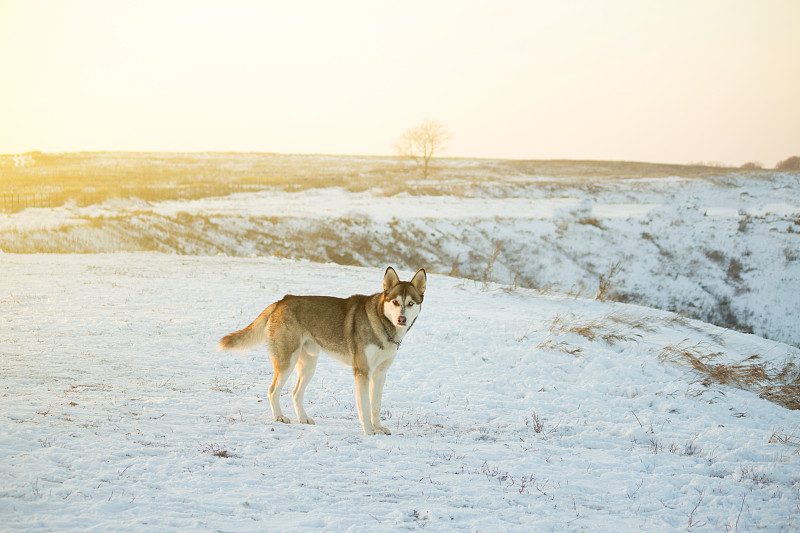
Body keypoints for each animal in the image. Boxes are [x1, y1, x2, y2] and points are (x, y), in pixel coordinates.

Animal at [216, 268, 422, 434]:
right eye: (395, 302)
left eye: (411, 303)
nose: (402, 319)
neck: (382, 323)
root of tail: (283, 300)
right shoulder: (362, 372)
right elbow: (364, 406)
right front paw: (369, 430)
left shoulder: (380, 373)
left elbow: (376, 406)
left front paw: (378, 427)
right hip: (287, 362)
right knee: (273, 390)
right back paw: (279, 417)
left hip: (309, 365)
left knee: (295, 393)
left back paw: (303, 418)